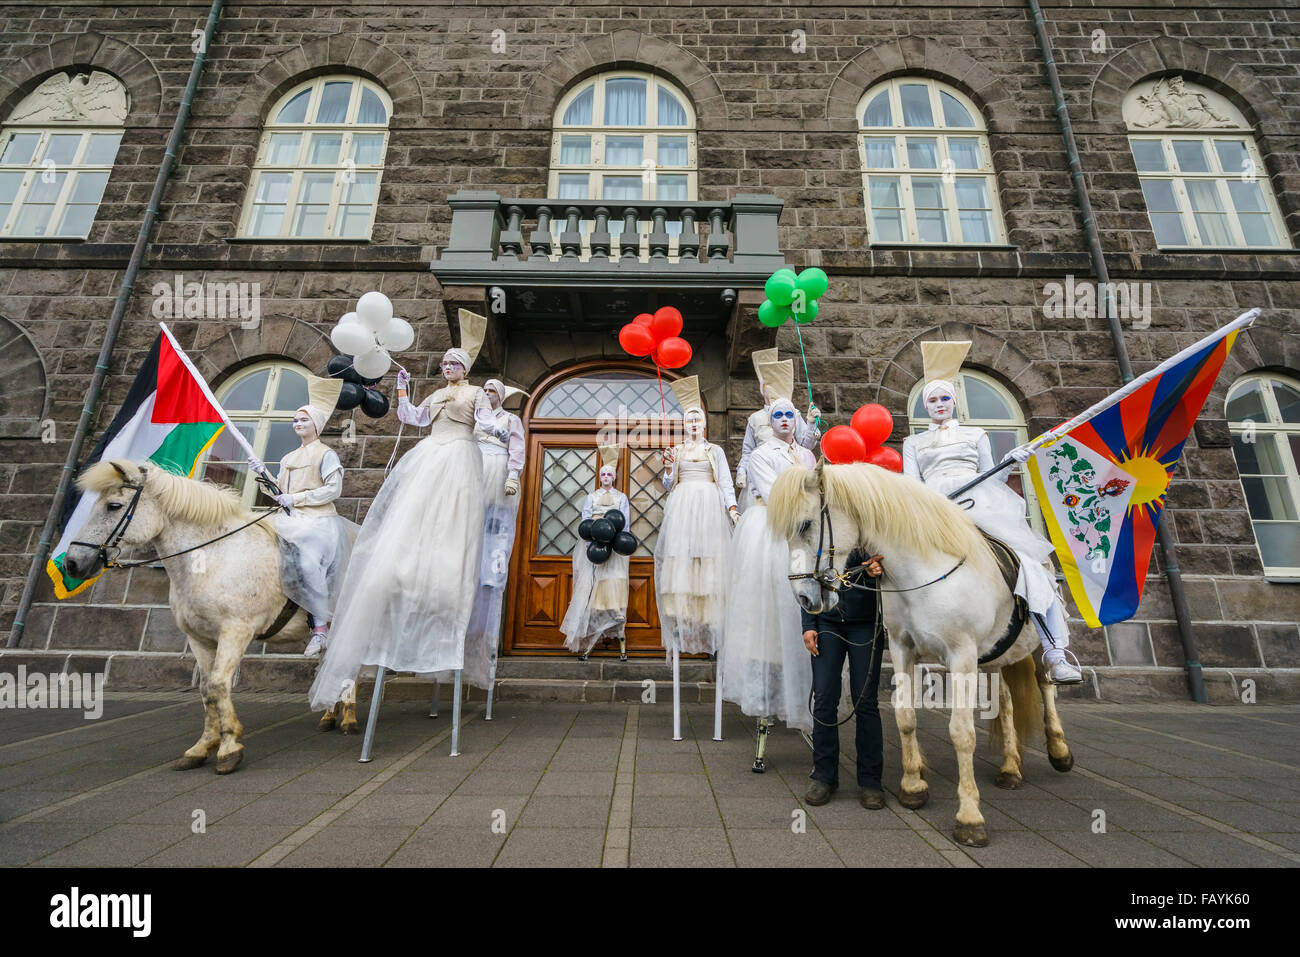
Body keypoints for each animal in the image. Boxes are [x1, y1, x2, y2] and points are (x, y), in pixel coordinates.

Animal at [63, 460, 358, 774]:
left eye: (113, 506)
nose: (72, 563)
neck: (212, 556)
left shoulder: (235, 631)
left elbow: (218, 684)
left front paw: (229, 747)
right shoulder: (198, 637)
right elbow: (206, 689)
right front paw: (202, 747)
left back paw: (349, 718)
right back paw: (329, 715)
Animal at [764, 462, 1071, 842]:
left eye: (806, 525)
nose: (805, 599)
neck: (925, 571)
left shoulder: (961, 656)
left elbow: (962, 733)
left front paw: (970, 818)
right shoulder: (902, 648)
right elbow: (905, 717)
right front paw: (912, 788)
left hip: (1034, 643)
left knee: (1046, 684)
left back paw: (1059, 749)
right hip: (996, 654)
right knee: (1007, 701)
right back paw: (1011, 767)